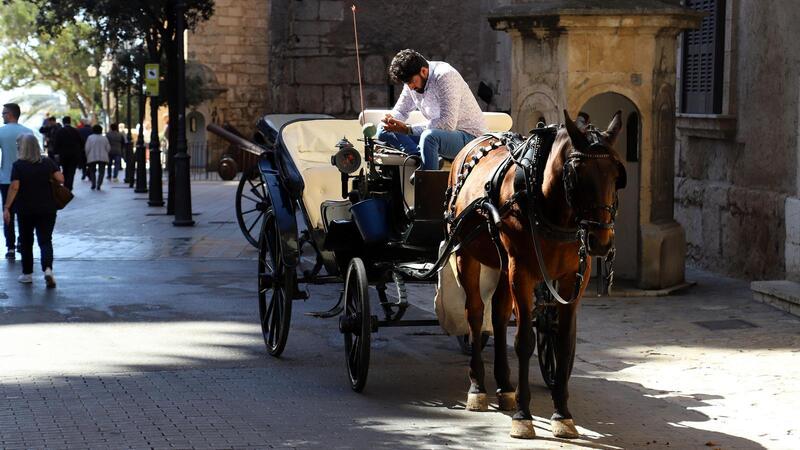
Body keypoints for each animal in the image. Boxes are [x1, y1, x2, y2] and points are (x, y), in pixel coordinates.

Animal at [446, 110, 626, 439]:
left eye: (614, 174)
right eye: (577, 174)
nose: (601, 241)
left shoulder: (573, 278)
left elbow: (563, 341)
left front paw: (562, 414)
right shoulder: (522, 271)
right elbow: (524, 341)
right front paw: (523, 415)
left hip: (502, 264)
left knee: (499, 315)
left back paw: (505, 386)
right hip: (467, 254)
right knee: (475, 314)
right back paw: (478, 387)